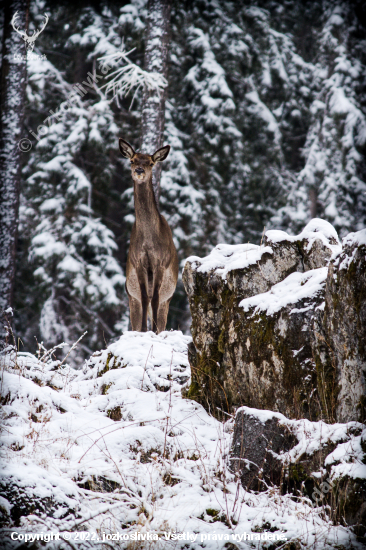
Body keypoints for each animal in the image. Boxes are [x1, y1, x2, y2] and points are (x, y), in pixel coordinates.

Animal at [118, 140, 179, 334]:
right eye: (132, 160)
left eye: (151, 163)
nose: (139, 170)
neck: (148, 242)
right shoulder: (138, 262)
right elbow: (146, 297)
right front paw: (145, 330)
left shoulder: (160, 262)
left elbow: (155, 297)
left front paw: (153, 330)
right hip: (131, 298)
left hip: (168, 300)